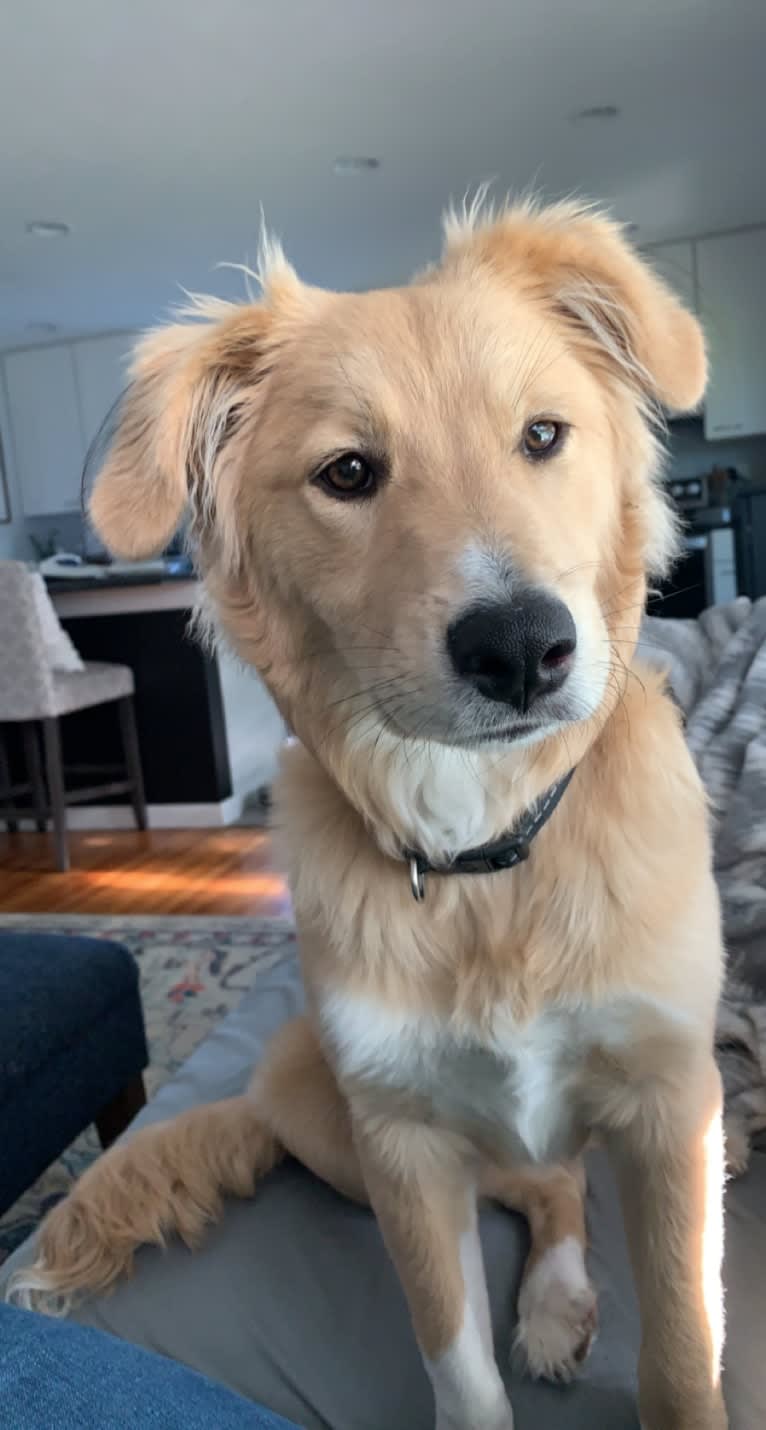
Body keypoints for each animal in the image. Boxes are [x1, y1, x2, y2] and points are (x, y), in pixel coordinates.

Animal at [15, 198, 725, 1430]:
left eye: (543, 437)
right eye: (348, 472)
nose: (522, 649)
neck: (488, 857)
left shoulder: (675, 1104)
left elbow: (682, 1354)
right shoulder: (401, 1149)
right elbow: (457, 1360)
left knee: (560, 1177)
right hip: (331, 1119)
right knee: (542, 1178)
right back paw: (551, 1299)